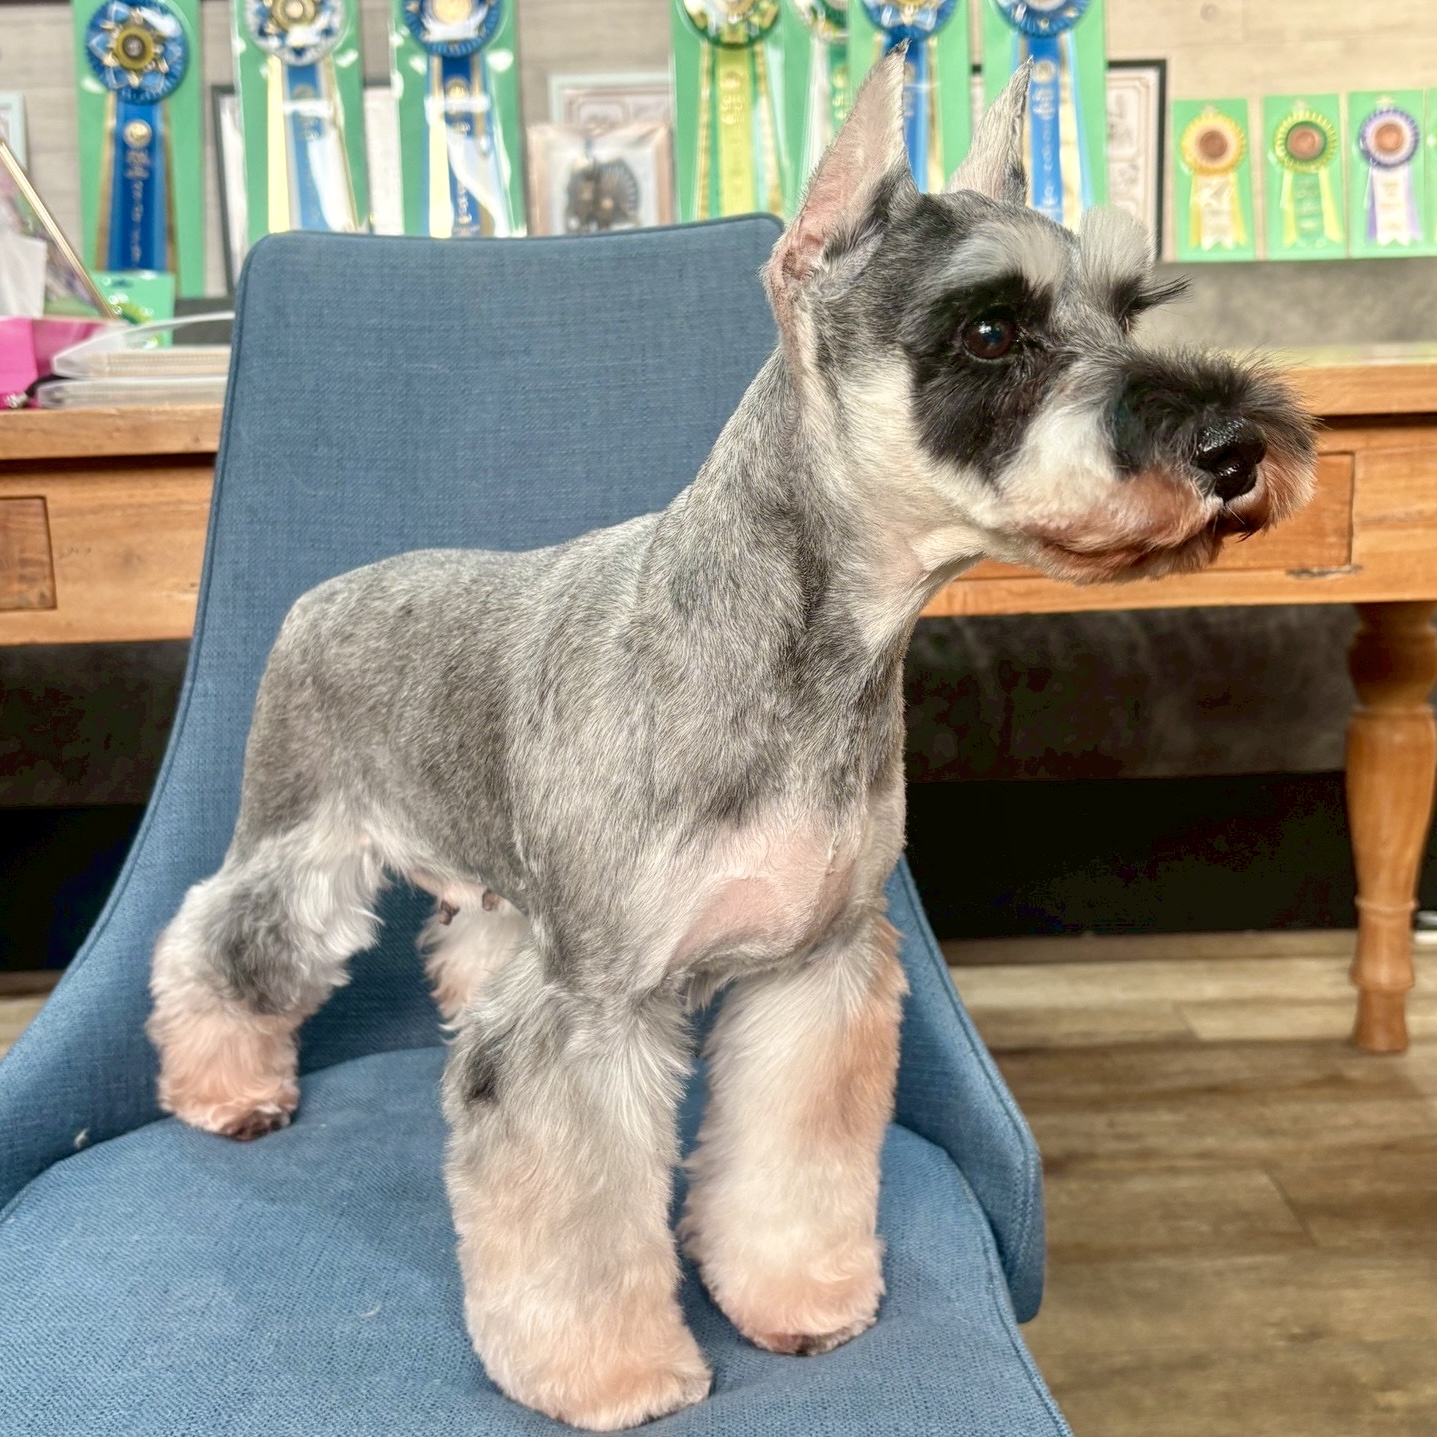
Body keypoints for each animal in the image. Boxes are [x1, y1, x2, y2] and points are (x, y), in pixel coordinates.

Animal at [148, 51, 1316, 1431]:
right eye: (991, 331)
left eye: (1130, 311)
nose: (1236, 448)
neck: (805, 653)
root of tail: (325, 594)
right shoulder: (591, 1017)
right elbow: (577, 1216)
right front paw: (613, 1374)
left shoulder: (812, 972)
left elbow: (790, 1164)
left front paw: (799, 1297)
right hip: (304, 840)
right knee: (219, 941)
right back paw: (225, 1087)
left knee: (459, 948)